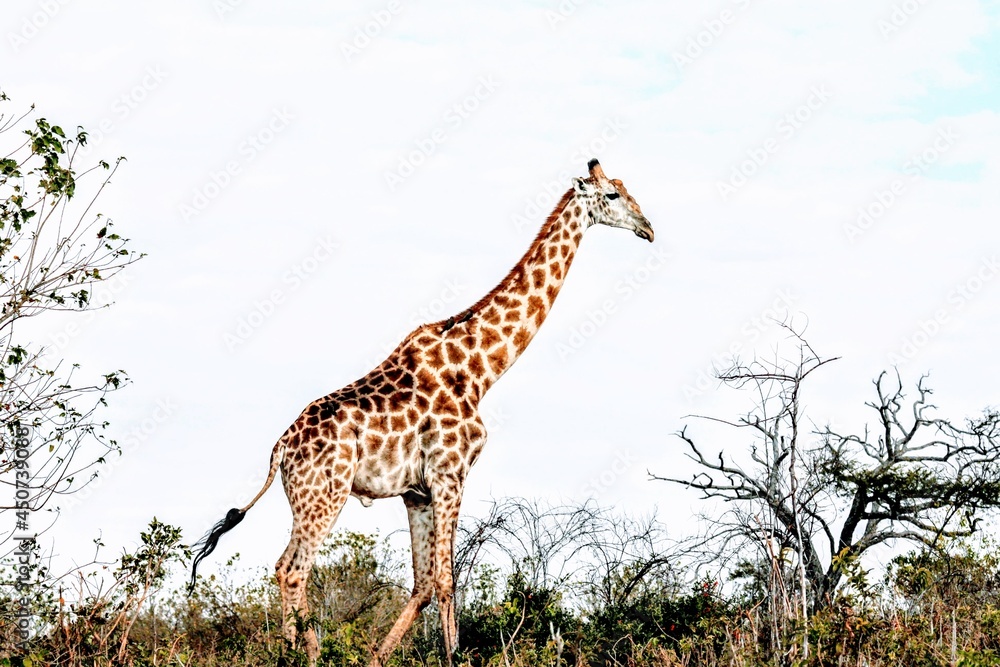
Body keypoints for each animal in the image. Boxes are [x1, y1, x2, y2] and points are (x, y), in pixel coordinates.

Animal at [190, 159, 654, 666]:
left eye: (626, 188)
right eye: (612, 195)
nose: (648, 228)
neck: (480, 369)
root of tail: (279, 450)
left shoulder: (417, 491)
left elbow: (424, 584)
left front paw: (380, 657)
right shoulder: (451, 473)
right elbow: (449, 581)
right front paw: (455, 656)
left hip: (310, 498)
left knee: (286, 568)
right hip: (324, 496)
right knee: (293, 568)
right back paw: (303, 656)